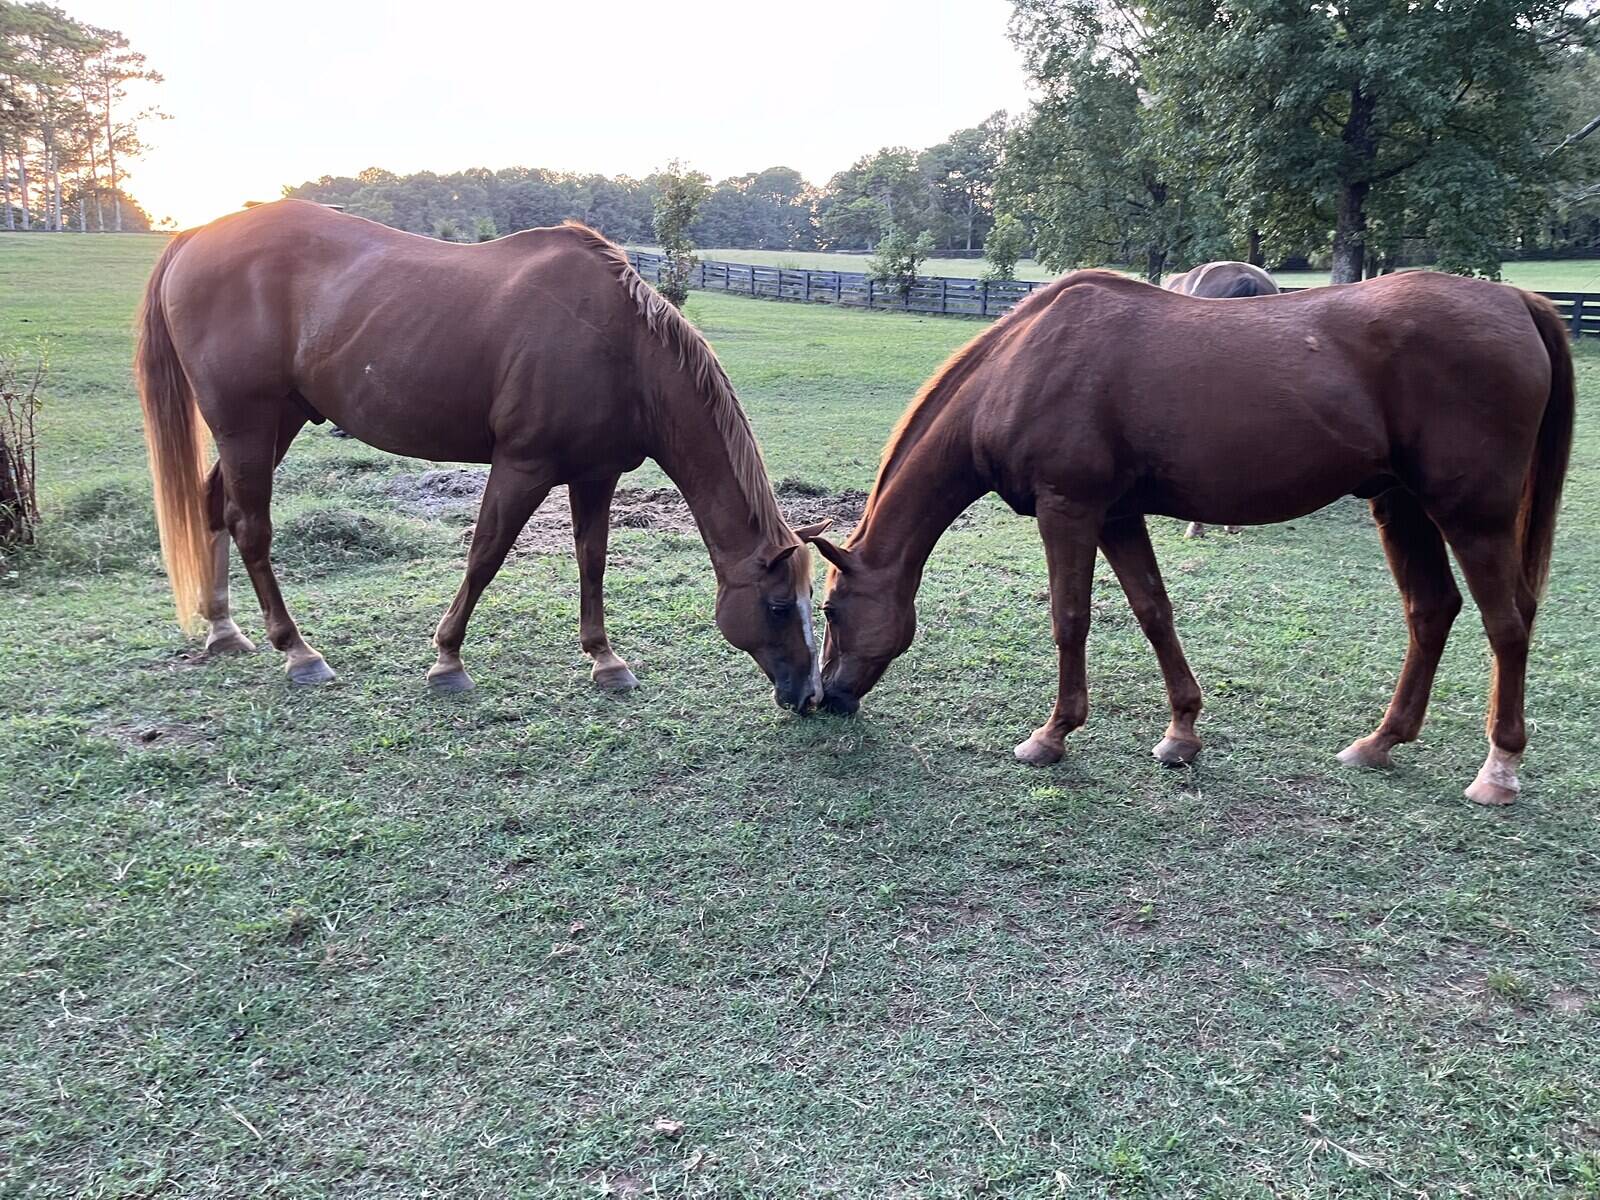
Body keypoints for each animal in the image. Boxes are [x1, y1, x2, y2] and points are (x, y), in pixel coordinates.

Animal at [135, 200, 829, 711]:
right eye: (776, 606)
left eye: (811, 604)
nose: (811, 696)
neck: (622, 348)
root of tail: (195, 236)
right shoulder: (523, 465)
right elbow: (486, 554)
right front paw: (448, 660)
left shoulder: (596, 474)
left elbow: (593, 561)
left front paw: (605, 659)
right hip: (247, 425)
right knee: (250, 525)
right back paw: (298, 652)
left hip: (273, 423)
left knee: (215, 507)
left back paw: (225, 630)